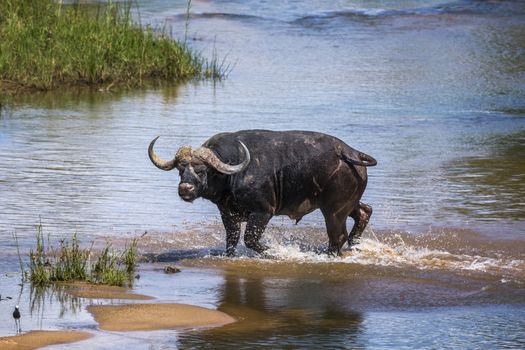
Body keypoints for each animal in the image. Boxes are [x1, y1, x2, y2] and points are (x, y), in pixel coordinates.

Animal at [149, 130, 374, 256]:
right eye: (181, 170)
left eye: (202, 170)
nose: (184, 189)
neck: (233, 174)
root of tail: (349, 152)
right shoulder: (228, 213)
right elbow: (231, 239)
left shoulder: (262, 212)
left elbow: (250, 239)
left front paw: (274, 252)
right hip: (347, 204)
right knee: (365, 211)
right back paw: (355, 244)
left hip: (333, 211)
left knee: (337, 236)